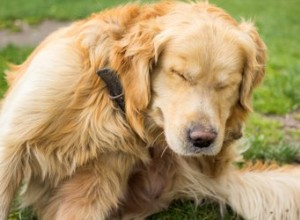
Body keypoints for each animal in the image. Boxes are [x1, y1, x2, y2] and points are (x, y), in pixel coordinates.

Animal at [0, 1, 300, 220]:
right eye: (179, 74)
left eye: (227, 84)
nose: (202, 140)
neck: (111, 95)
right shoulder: (11, 144)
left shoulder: (93, 184)